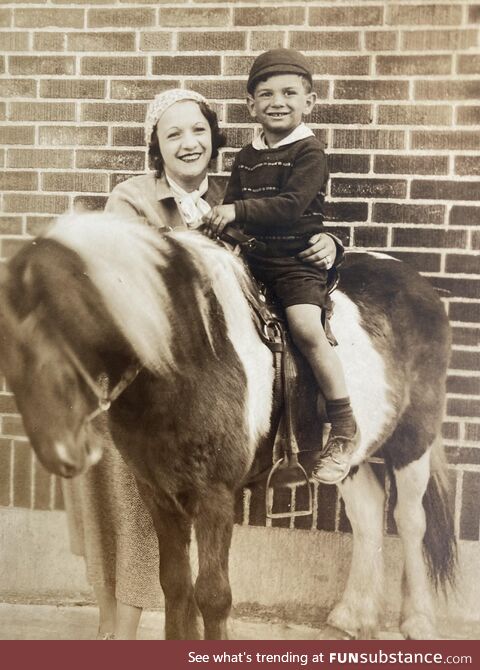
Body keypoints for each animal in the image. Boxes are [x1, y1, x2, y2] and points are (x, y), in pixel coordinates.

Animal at [0, 214, 458, 640]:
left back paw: (418, 621)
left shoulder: (215, 496)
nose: (64, 453)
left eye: (68, 319)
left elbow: (213, 594)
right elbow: (175, 584)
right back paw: (353, 617)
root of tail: (420, 285)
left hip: (413, 440)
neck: (188, 354)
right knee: (367, 514)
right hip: (347, 458)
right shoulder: (159, 493)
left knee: (409, 520)